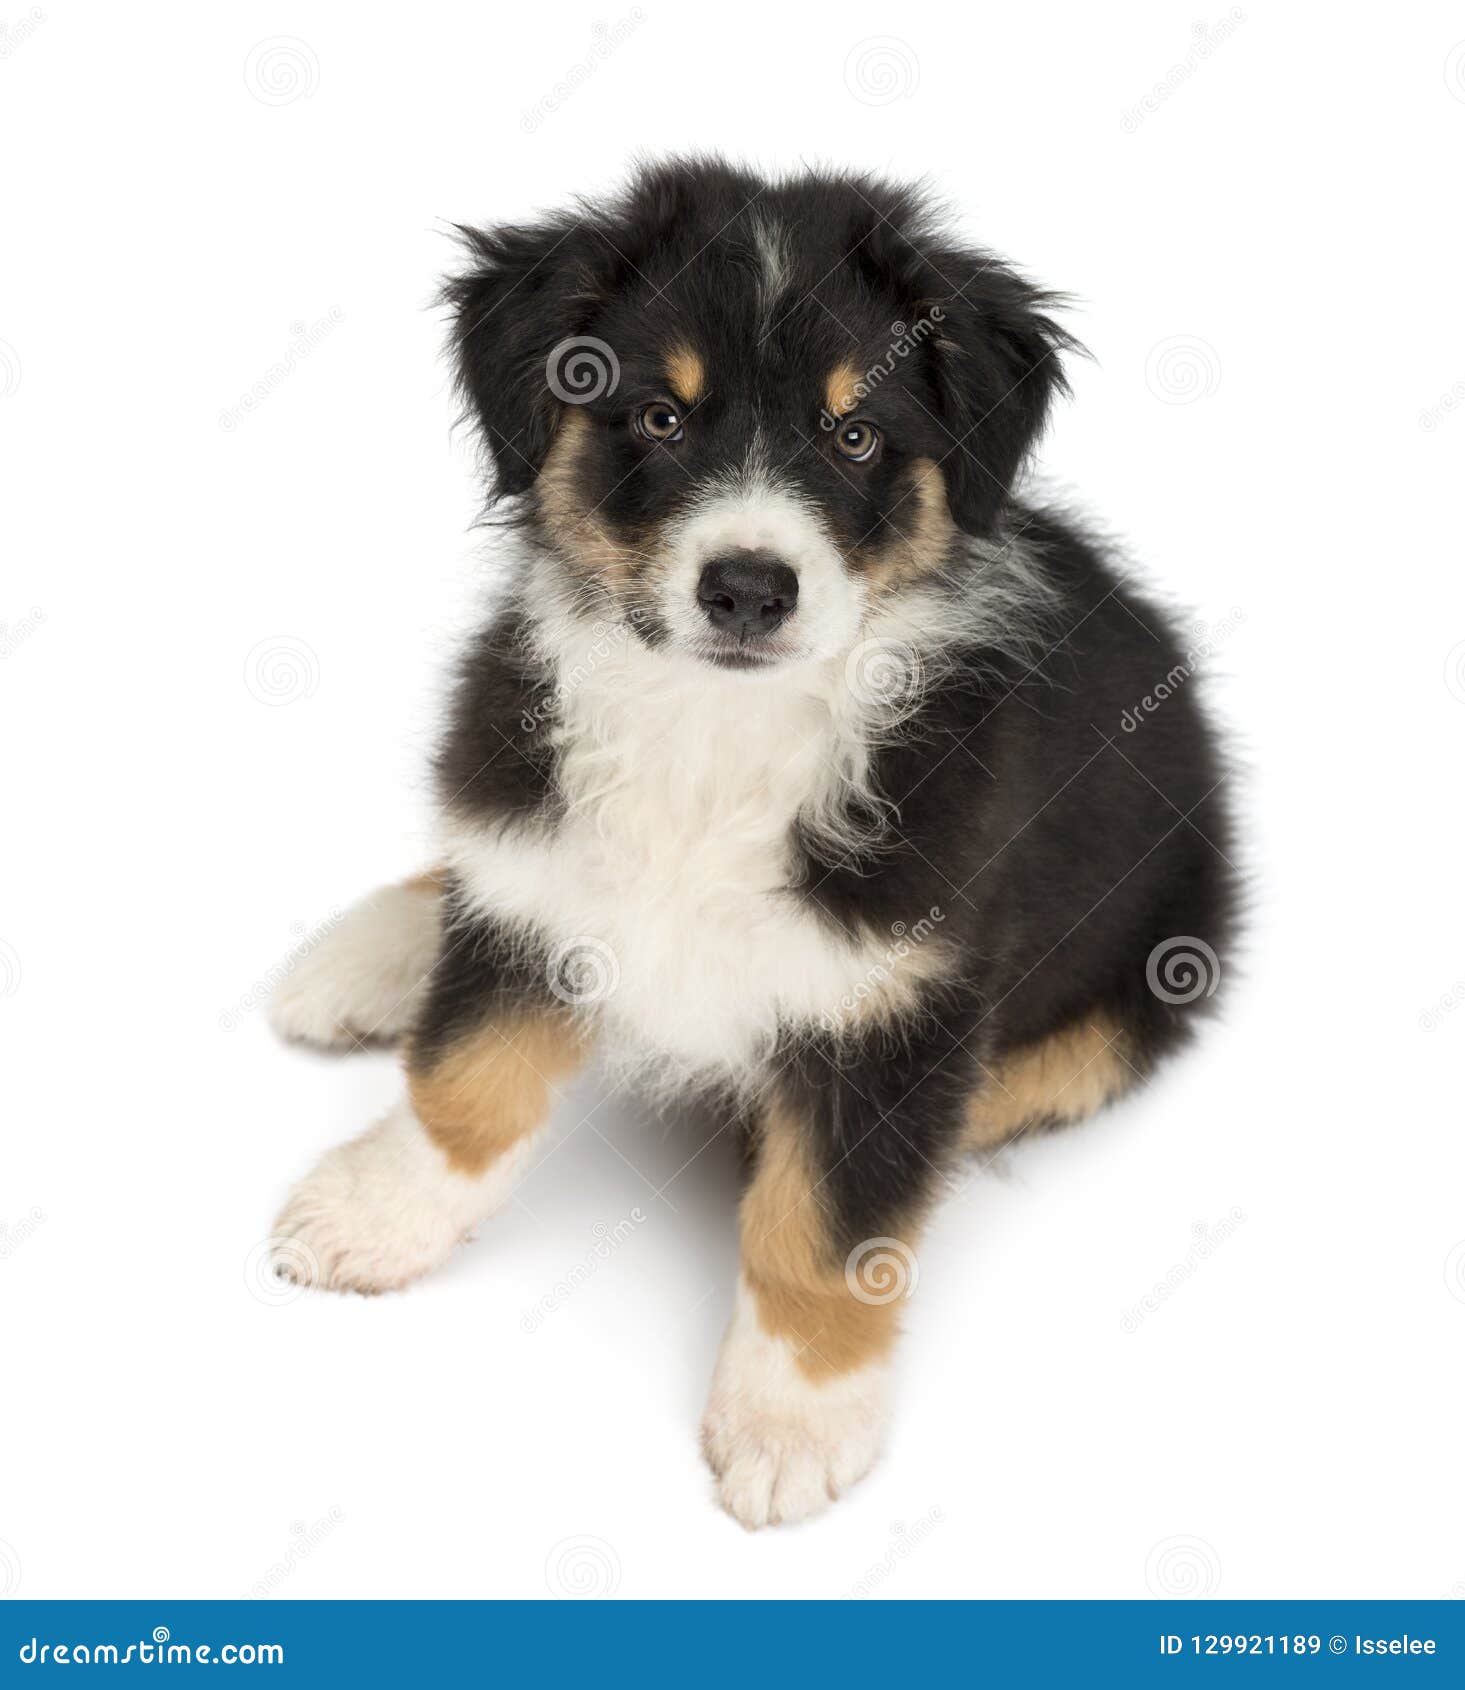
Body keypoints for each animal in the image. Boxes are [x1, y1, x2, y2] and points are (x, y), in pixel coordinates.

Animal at [266, 158, 1236, 1534]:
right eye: (658, 418)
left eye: (855, 434)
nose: (746, 588)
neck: (717, 733)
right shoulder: (540, 872)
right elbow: (465, 1074)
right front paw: (375, 1211)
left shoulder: (905, 996)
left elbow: (824, 1220)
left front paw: (791, 1418)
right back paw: (374, 951)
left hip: (1154, 966)